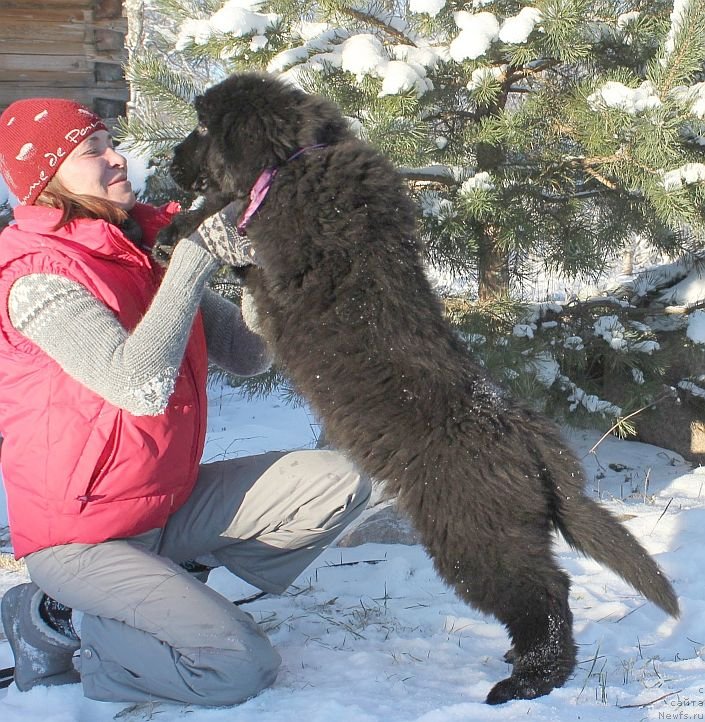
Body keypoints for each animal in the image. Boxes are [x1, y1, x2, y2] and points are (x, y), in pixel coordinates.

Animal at [158, 73, 676, 704]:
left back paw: (526, 681)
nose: (167, 163)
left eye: (202, 127)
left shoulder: (275, 258)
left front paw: (174, 228)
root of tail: (532, 442)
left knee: (545, 595)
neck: (296, 160)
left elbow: (227, 220)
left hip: (473, 534)